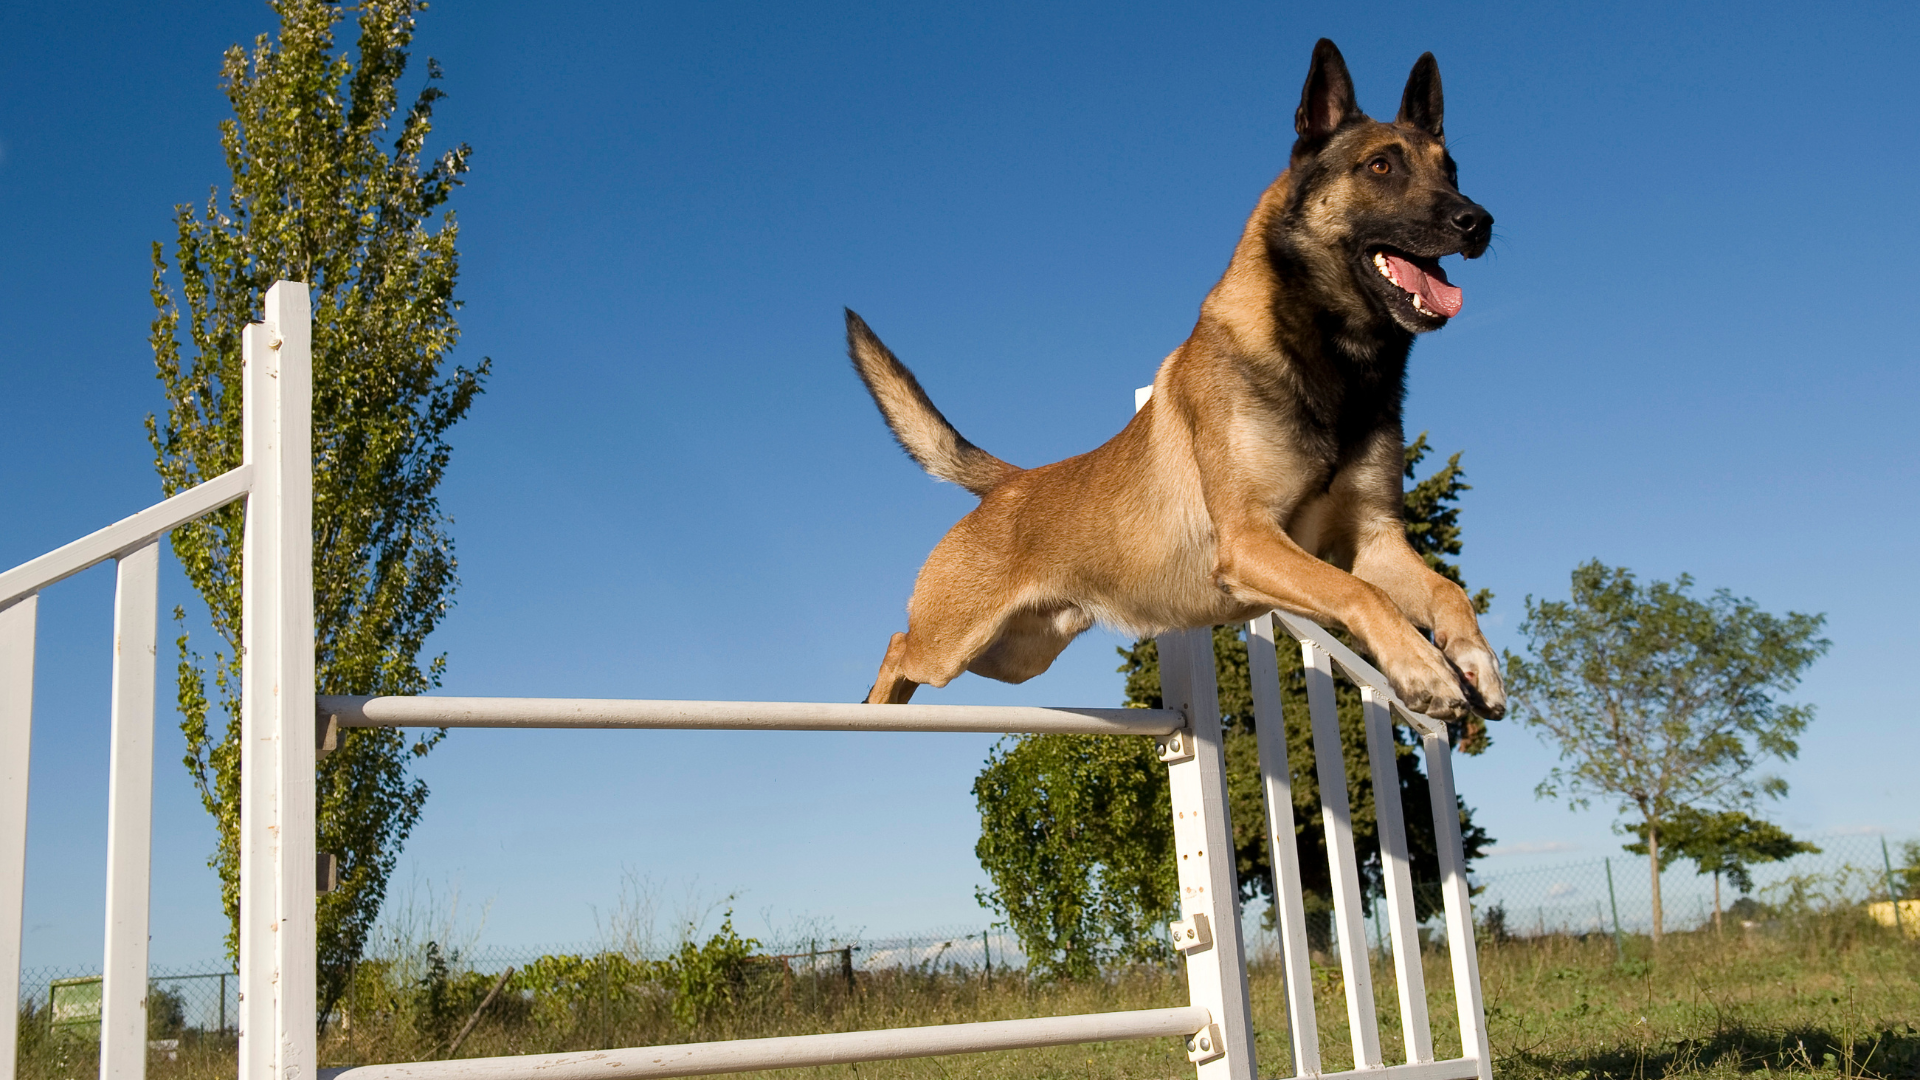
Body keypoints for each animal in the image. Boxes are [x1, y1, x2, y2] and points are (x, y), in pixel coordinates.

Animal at [848, 37, 1505, 718]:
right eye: (1380, 167)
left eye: (1452, 171)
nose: (1479, 221)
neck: (1334, 358)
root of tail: (1012, 482)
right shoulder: (1251, 540)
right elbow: (1361, 594)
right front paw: (1424, 668)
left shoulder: (1376, 543)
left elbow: (1449, 591)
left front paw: (1475, 662)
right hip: (952, 643)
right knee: (898, 646)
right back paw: (870, 713)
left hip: (1015, 657)